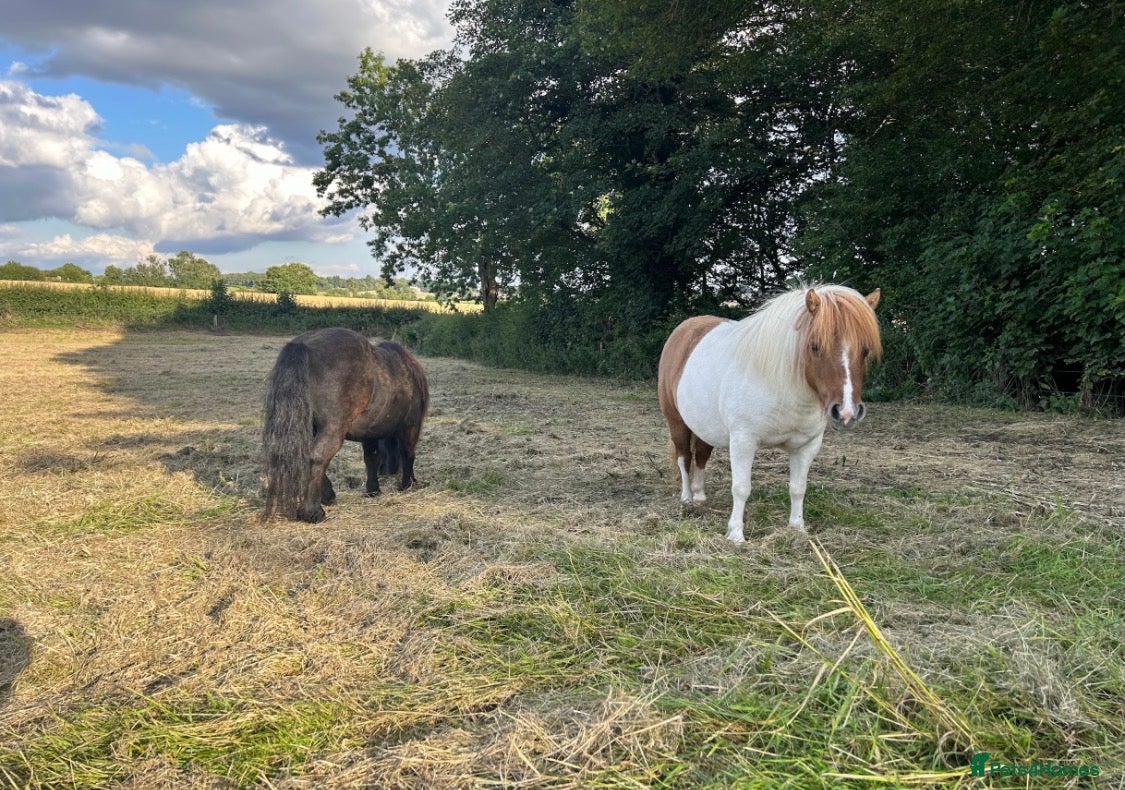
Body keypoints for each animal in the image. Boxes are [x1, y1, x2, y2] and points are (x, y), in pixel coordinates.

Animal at [261, 327, 429, 523]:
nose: (389, 472)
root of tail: (302, 345)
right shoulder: (411, 425)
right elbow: (407, 454)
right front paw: (407, 484)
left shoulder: (370, 432)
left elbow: (371, 458)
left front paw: (373, 490)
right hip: (333, 429)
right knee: (318, 457)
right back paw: (313, 511)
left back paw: (325, 497)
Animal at [657, 284, 881, 542]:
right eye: (815, 346)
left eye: (865, 350)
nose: (846, 412)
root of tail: (683, 330)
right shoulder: (743, 442)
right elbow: (741, 488)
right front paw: (736, 535)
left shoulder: (807, 446)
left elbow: (798, 488)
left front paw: (797, 527)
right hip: (677, 422)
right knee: (684, 458)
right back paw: (686, 498)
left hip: (705, 427)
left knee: (701, 457)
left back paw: (700, 496)